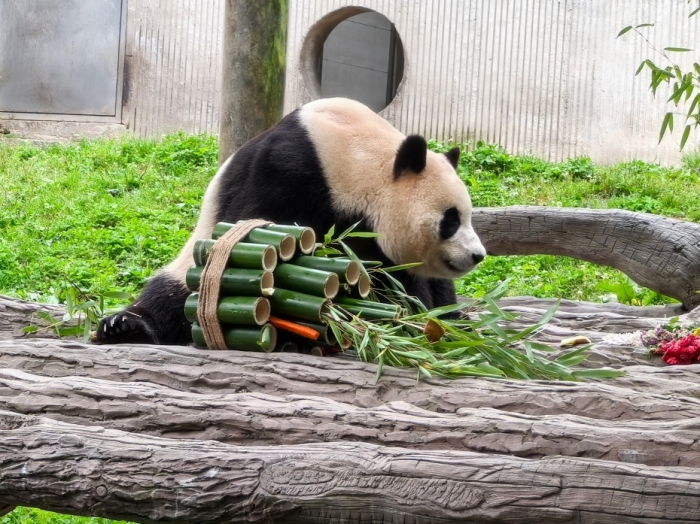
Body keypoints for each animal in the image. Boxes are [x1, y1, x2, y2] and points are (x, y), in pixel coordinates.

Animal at [95, 96, 484, 346]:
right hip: (190, 264)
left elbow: (410, 283)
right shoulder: (288, 171)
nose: (477, 255)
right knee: (173, 295)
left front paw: (420, 319)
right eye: (451, 220)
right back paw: (126, 326)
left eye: (467, 216)